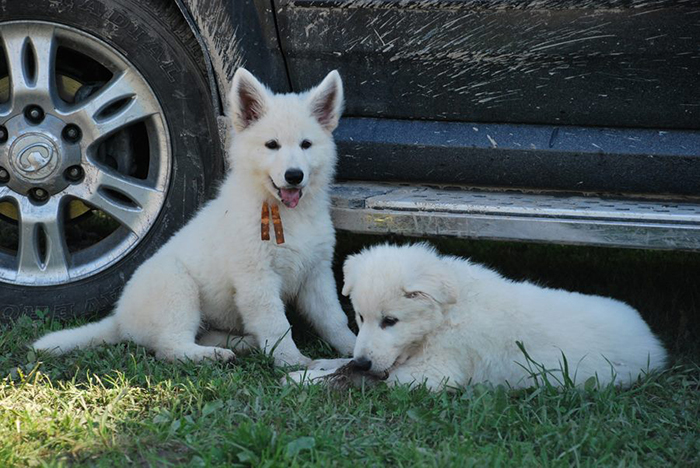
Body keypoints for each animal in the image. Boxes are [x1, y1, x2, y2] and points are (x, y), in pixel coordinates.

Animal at [286, 243, 668, 390]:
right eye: (360, 318)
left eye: (390, 321)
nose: (364, 359)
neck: (444, 316)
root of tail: (654, 343)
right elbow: (344, 364)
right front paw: (317, 366)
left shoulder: (434, 375)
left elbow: (362, 378)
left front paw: (304, 380)